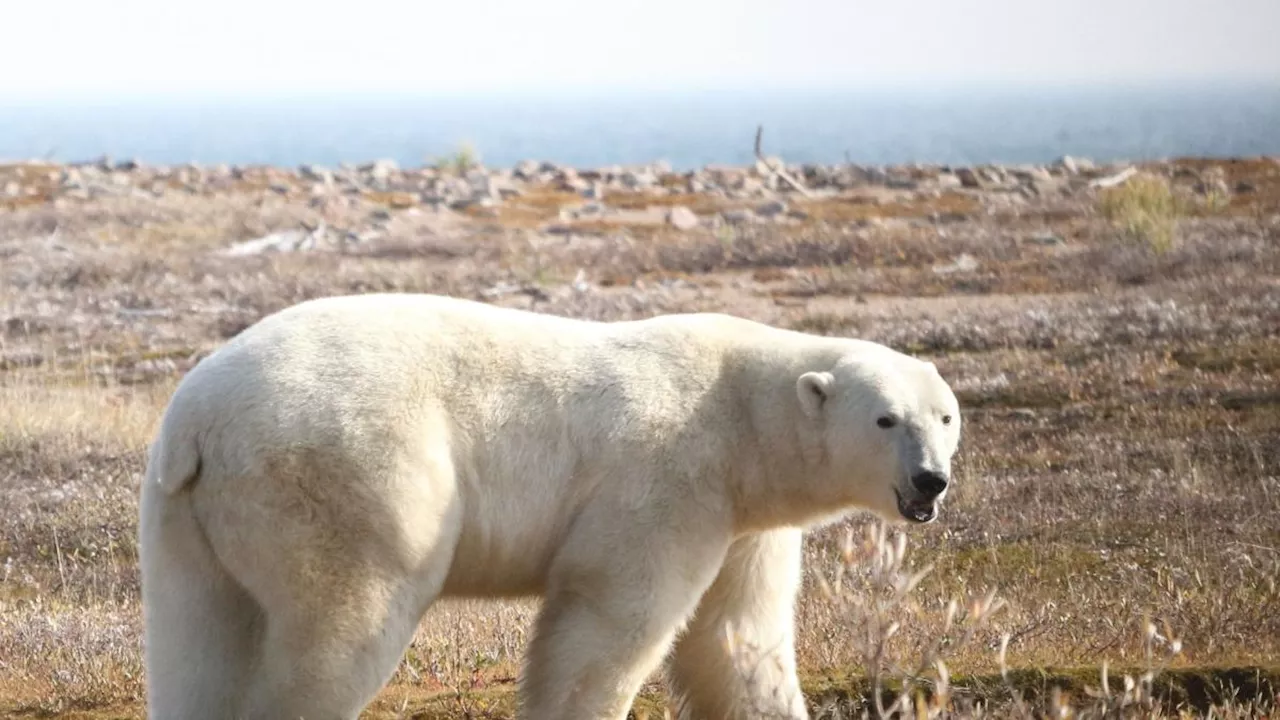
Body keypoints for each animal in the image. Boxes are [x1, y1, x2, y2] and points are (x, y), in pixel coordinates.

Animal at [140, 289, 962, 717]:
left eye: (946, 416)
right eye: (886, 419)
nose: (931, 481)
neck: (739, 412)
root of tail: (200, 422)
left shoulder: (745, 520)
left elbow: (737, 638)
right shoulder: (668, 477)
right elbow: (613, 619)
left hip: (187, 518)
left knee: (199, 640)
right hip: (347, 477)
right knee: (342, 624)